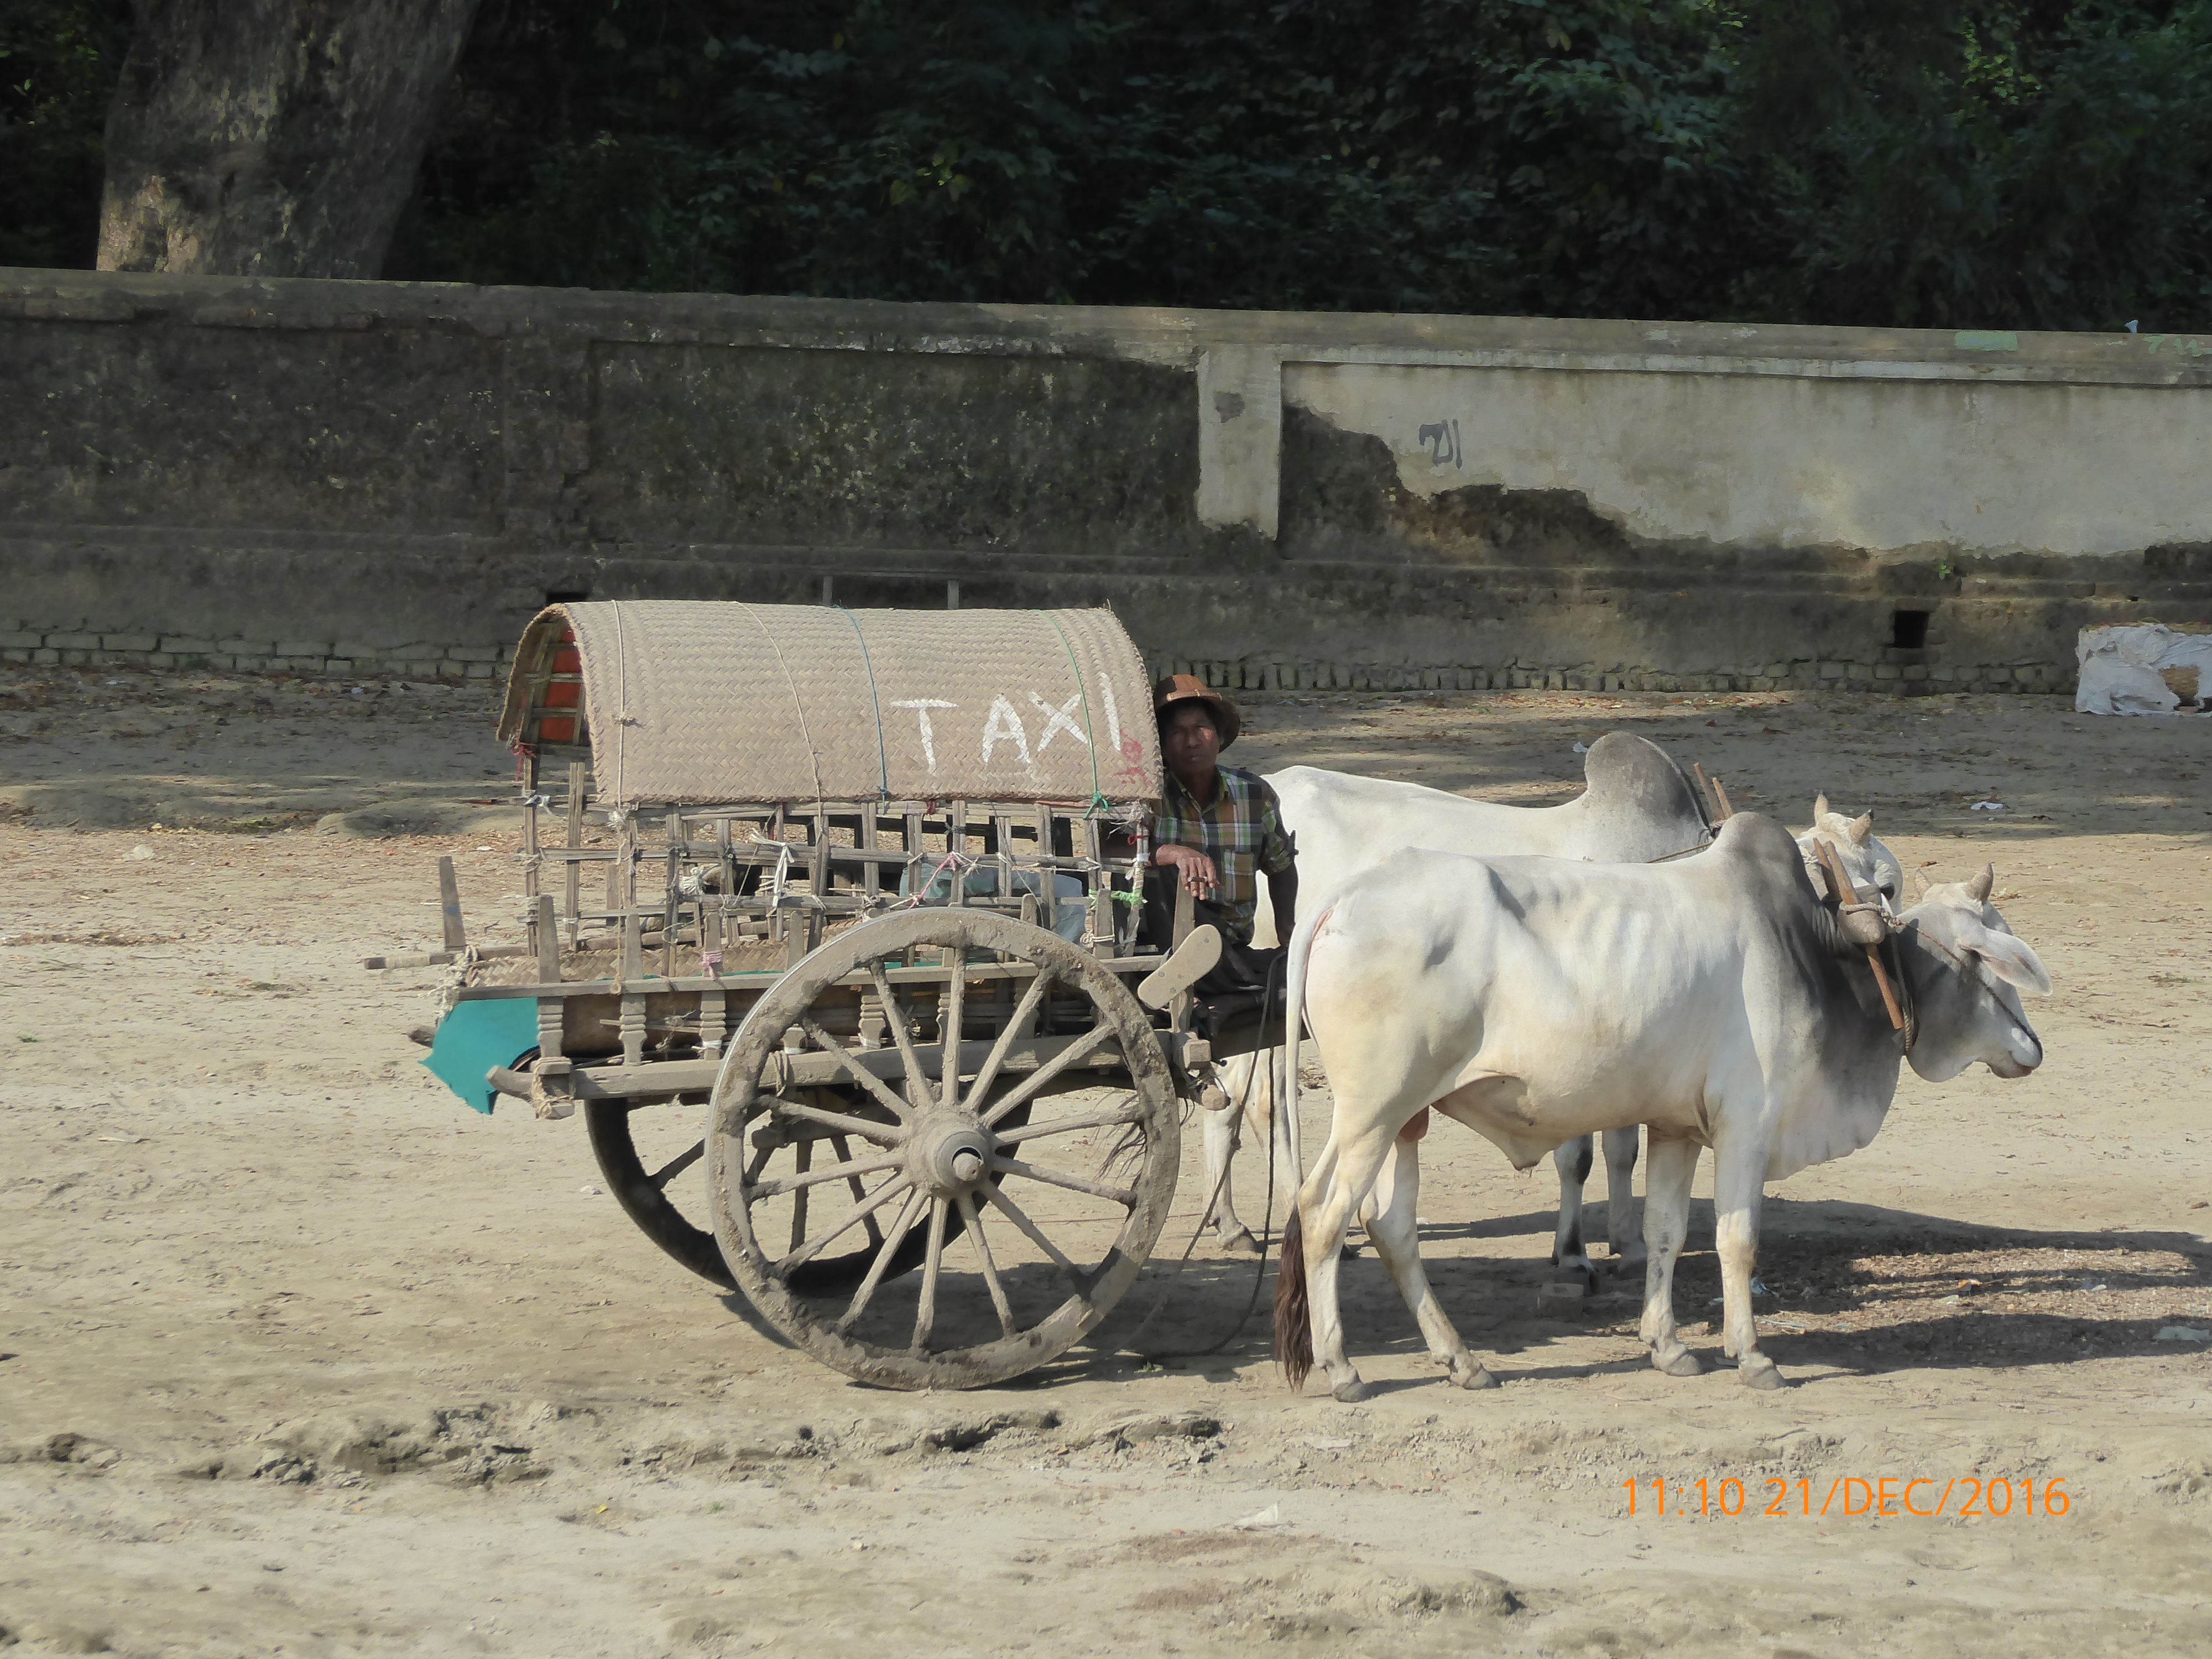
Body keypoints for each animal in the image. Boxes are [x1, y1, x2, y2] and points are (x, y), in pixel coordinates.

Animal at [1270, 812, 2049, 1400]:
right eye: (1984, 959)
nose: (2032, 1048)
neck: (1819, 950)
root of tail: (1341, 899)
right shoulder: (1745, 1128)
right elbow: (1737, 1240)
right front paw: (1751, 1354)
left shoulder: (1676, 1128)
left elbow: (1667, 1232)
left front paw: (1667, 1346)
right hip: (1371, 1111)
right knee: (1323, 1213)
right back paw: (1342, 1370)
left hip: (1403, 1119)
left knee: (1389, 1226)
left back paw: (1461, 1360)